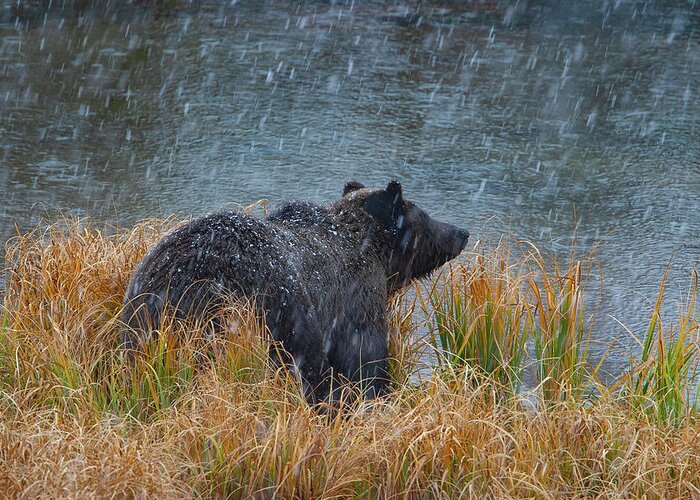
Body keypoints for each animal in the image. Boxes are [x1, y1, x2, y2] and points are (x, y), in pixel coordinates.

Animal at [120, 182, 470, 404]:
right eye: (424, 216)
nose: (461, 232)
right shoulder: (355, 302)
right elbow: (363, 361)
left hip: (144, 312)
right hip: (261, 309)